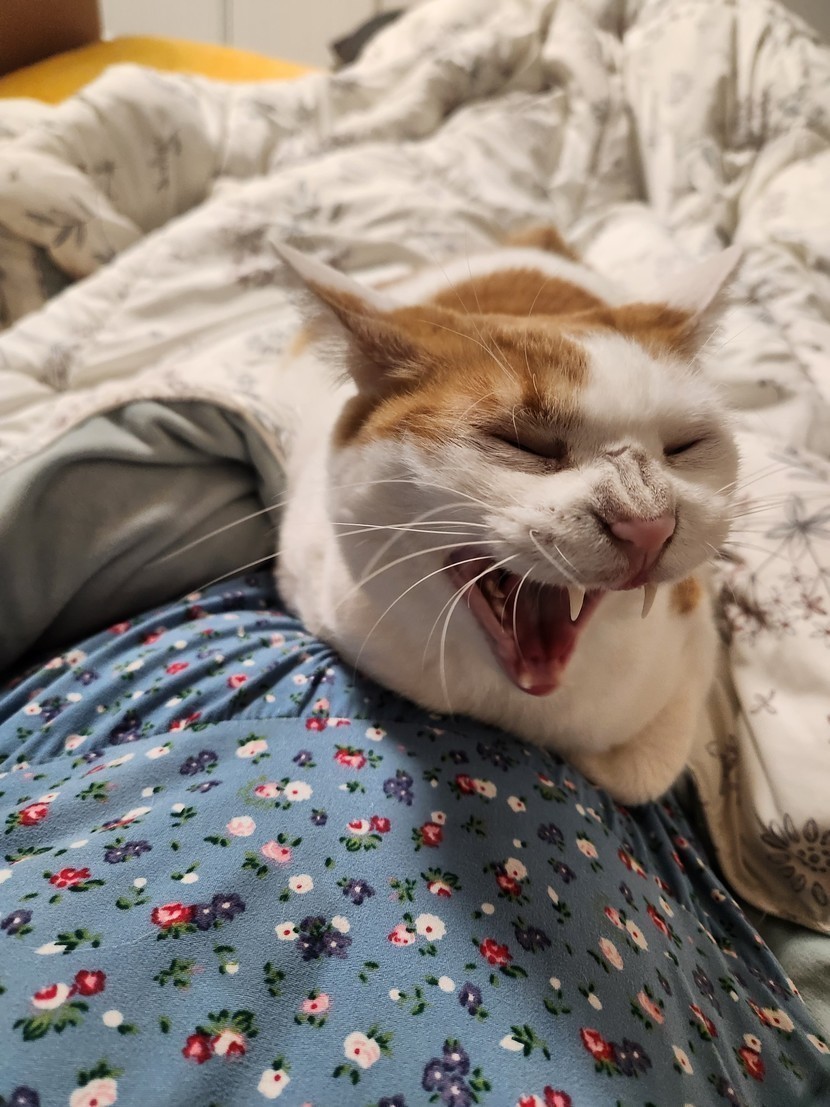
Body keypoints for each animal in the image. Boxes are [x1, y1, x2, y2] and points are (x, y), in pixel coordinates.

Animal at [273, 228, 740, 804]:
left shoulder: (694, 632)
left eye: (684, 447)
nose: (648, 524)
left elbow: (644, 770)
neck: (514, 709)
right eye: (522, 442)